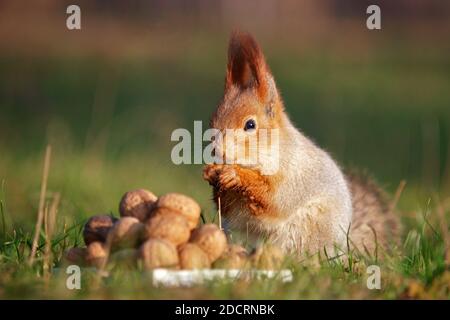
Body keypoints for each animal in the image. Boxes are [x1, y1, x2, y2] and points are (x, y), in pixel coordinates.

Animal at [202, 31, 400, 258]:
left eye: (250, 125)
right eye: (212, 121)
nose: (216, 151)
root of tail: (342, 250)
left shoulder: (291, 177)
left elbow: (273, 198)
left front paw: (236, 175)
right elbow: (227, 208)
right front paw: (211, 174)